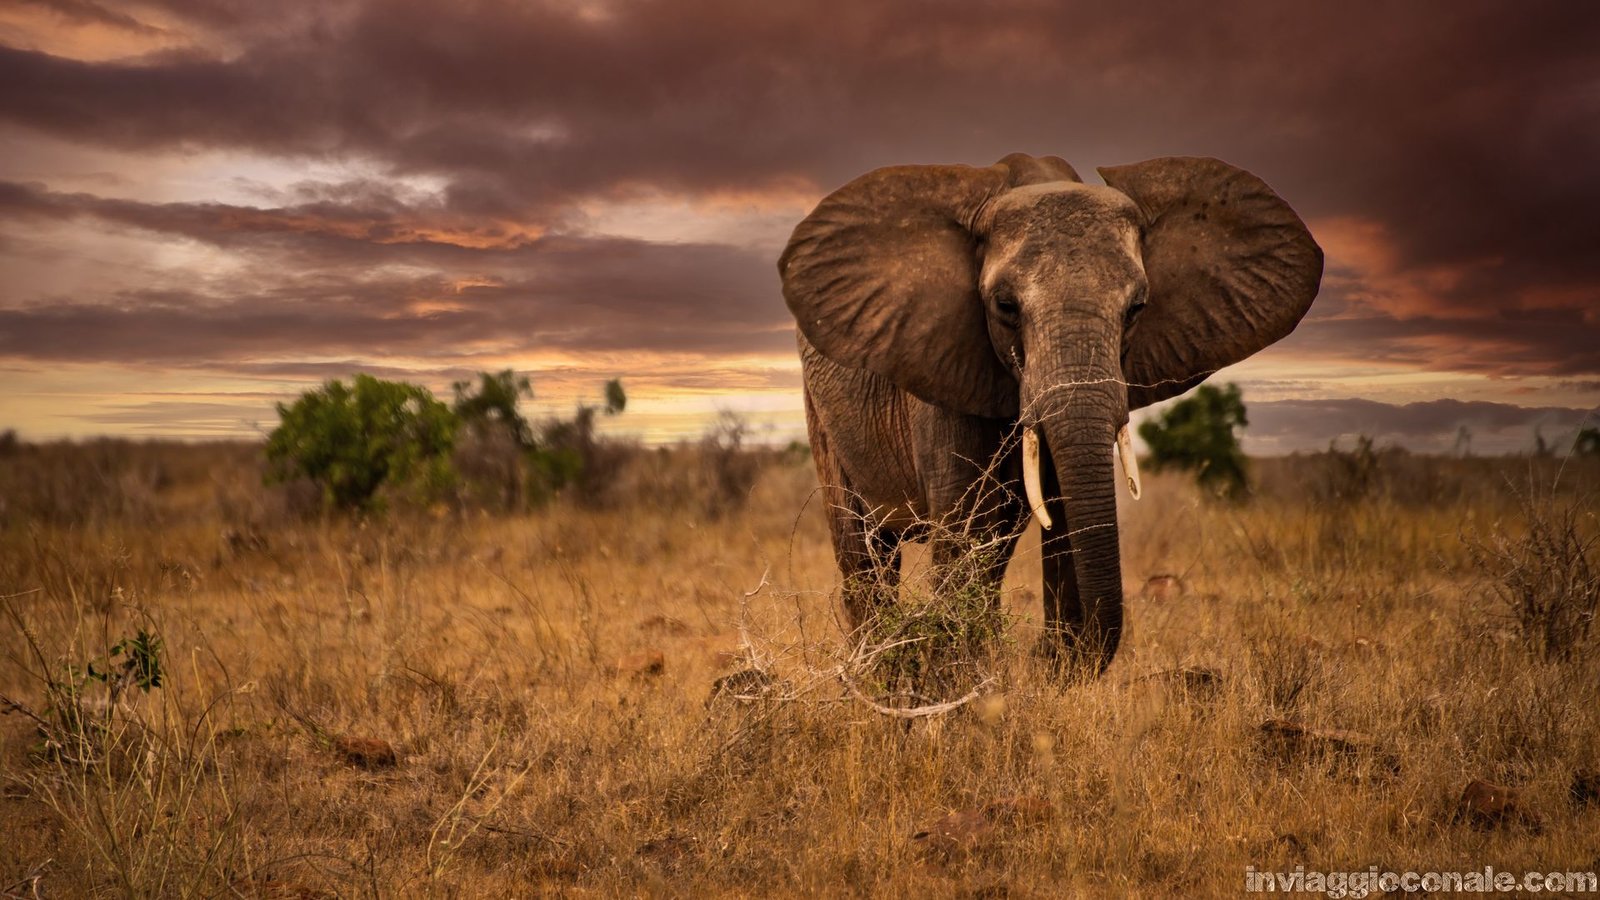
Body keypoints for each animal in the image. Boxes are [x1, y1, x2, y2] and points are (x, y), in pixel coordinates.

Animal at [779, 153, 1322, 674]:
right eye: (1005, 306)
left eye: (1137, 308)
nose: (1039, 655)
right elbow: (964, 527)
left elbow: (1060, 519)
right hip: (820, 409)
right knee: (863, 547)